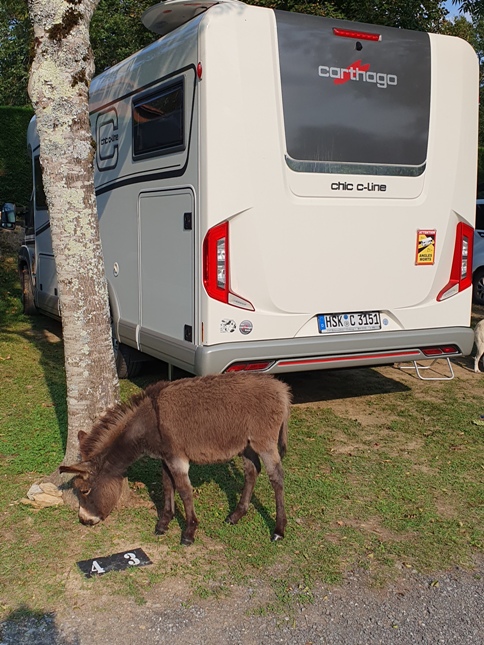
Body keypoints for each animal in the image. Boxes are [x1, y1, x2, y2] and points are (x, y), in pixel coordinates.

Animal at [60, 372, 292, 545]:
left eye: (84, 491)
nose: (84, 520)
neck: (148, 422)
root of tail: (281, 388)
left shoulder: (177, 458)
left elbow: (184, 490)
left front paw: (189, 531)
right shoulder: (165, 457)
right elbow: (167, 485)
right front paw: (164, 522)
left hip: (264, 442)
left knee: (277, 477)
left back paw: (279, 529)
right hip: (246, 444)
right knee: (252, 471)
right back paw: (236, 515)